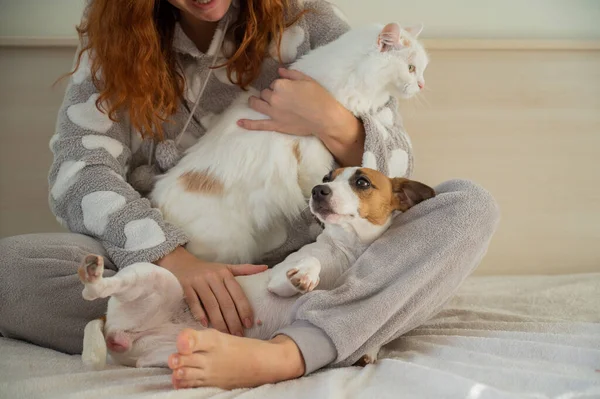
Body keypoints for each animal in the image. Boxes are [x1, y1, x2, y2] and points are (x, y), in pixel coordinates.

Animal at [152, 22, 428, 266]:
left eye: (422, 70)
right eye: (411, 68)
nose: (422, 85)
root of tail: (159, 204)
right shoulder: (312, 155)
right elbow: (322, 189)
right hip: (225, 246)